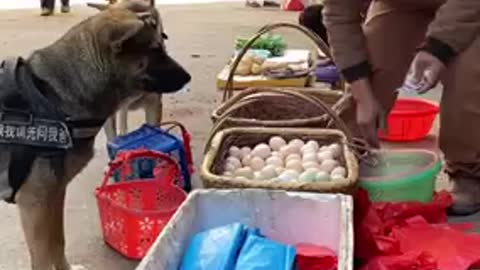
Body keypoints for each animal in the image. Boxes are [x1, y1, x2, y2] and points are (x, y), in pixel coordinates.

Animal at [0, 1, 191, 268]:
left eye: (162, 42)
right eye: (154, 50)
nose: (188, 77)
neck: (51, 95)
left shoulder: (53, 196)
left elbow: (57, 243)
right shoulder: (35, 202)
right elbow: (43, 255)